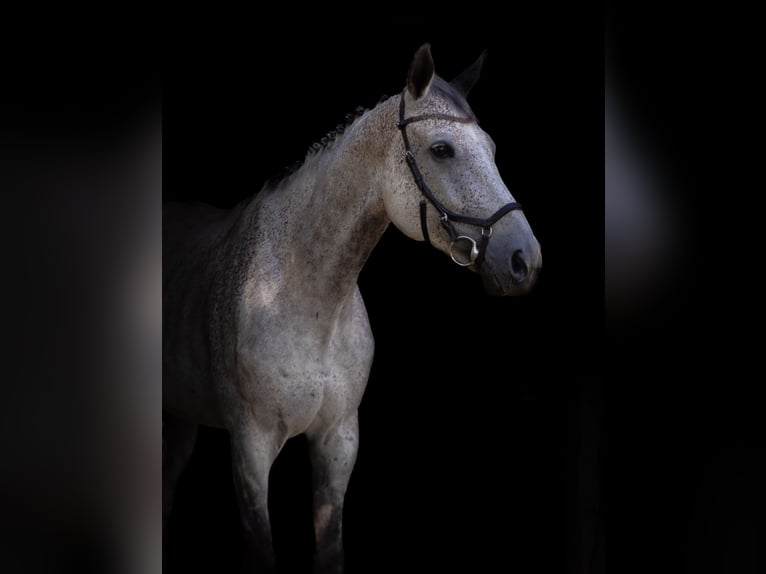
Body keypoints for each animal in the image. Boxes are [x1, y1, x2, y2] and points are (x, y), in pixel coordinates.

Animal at [165, 46, 544, 574]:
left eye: (490, 147)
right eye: (442, 149)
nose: (524, 260)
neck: (303, 302)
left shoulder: (339, 441)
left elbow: (330, 550)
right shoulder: (250, 449)